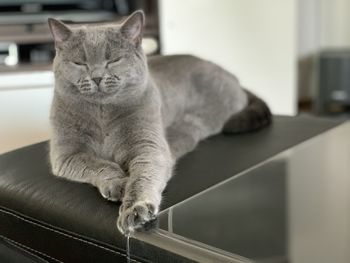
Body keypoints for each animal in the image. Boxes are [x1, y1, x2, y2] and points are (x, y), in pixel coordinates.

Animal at [47, 10, 270, 235]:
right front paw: (119, 184)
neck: (103, 116)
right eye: (79, 62)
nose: (97, 77)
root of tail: (234, 78)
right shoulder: (66, 155)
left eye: (114, 60)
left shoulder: (148, 147)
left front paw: (135, 210)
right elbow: (99, 164)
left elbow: (142, 176)